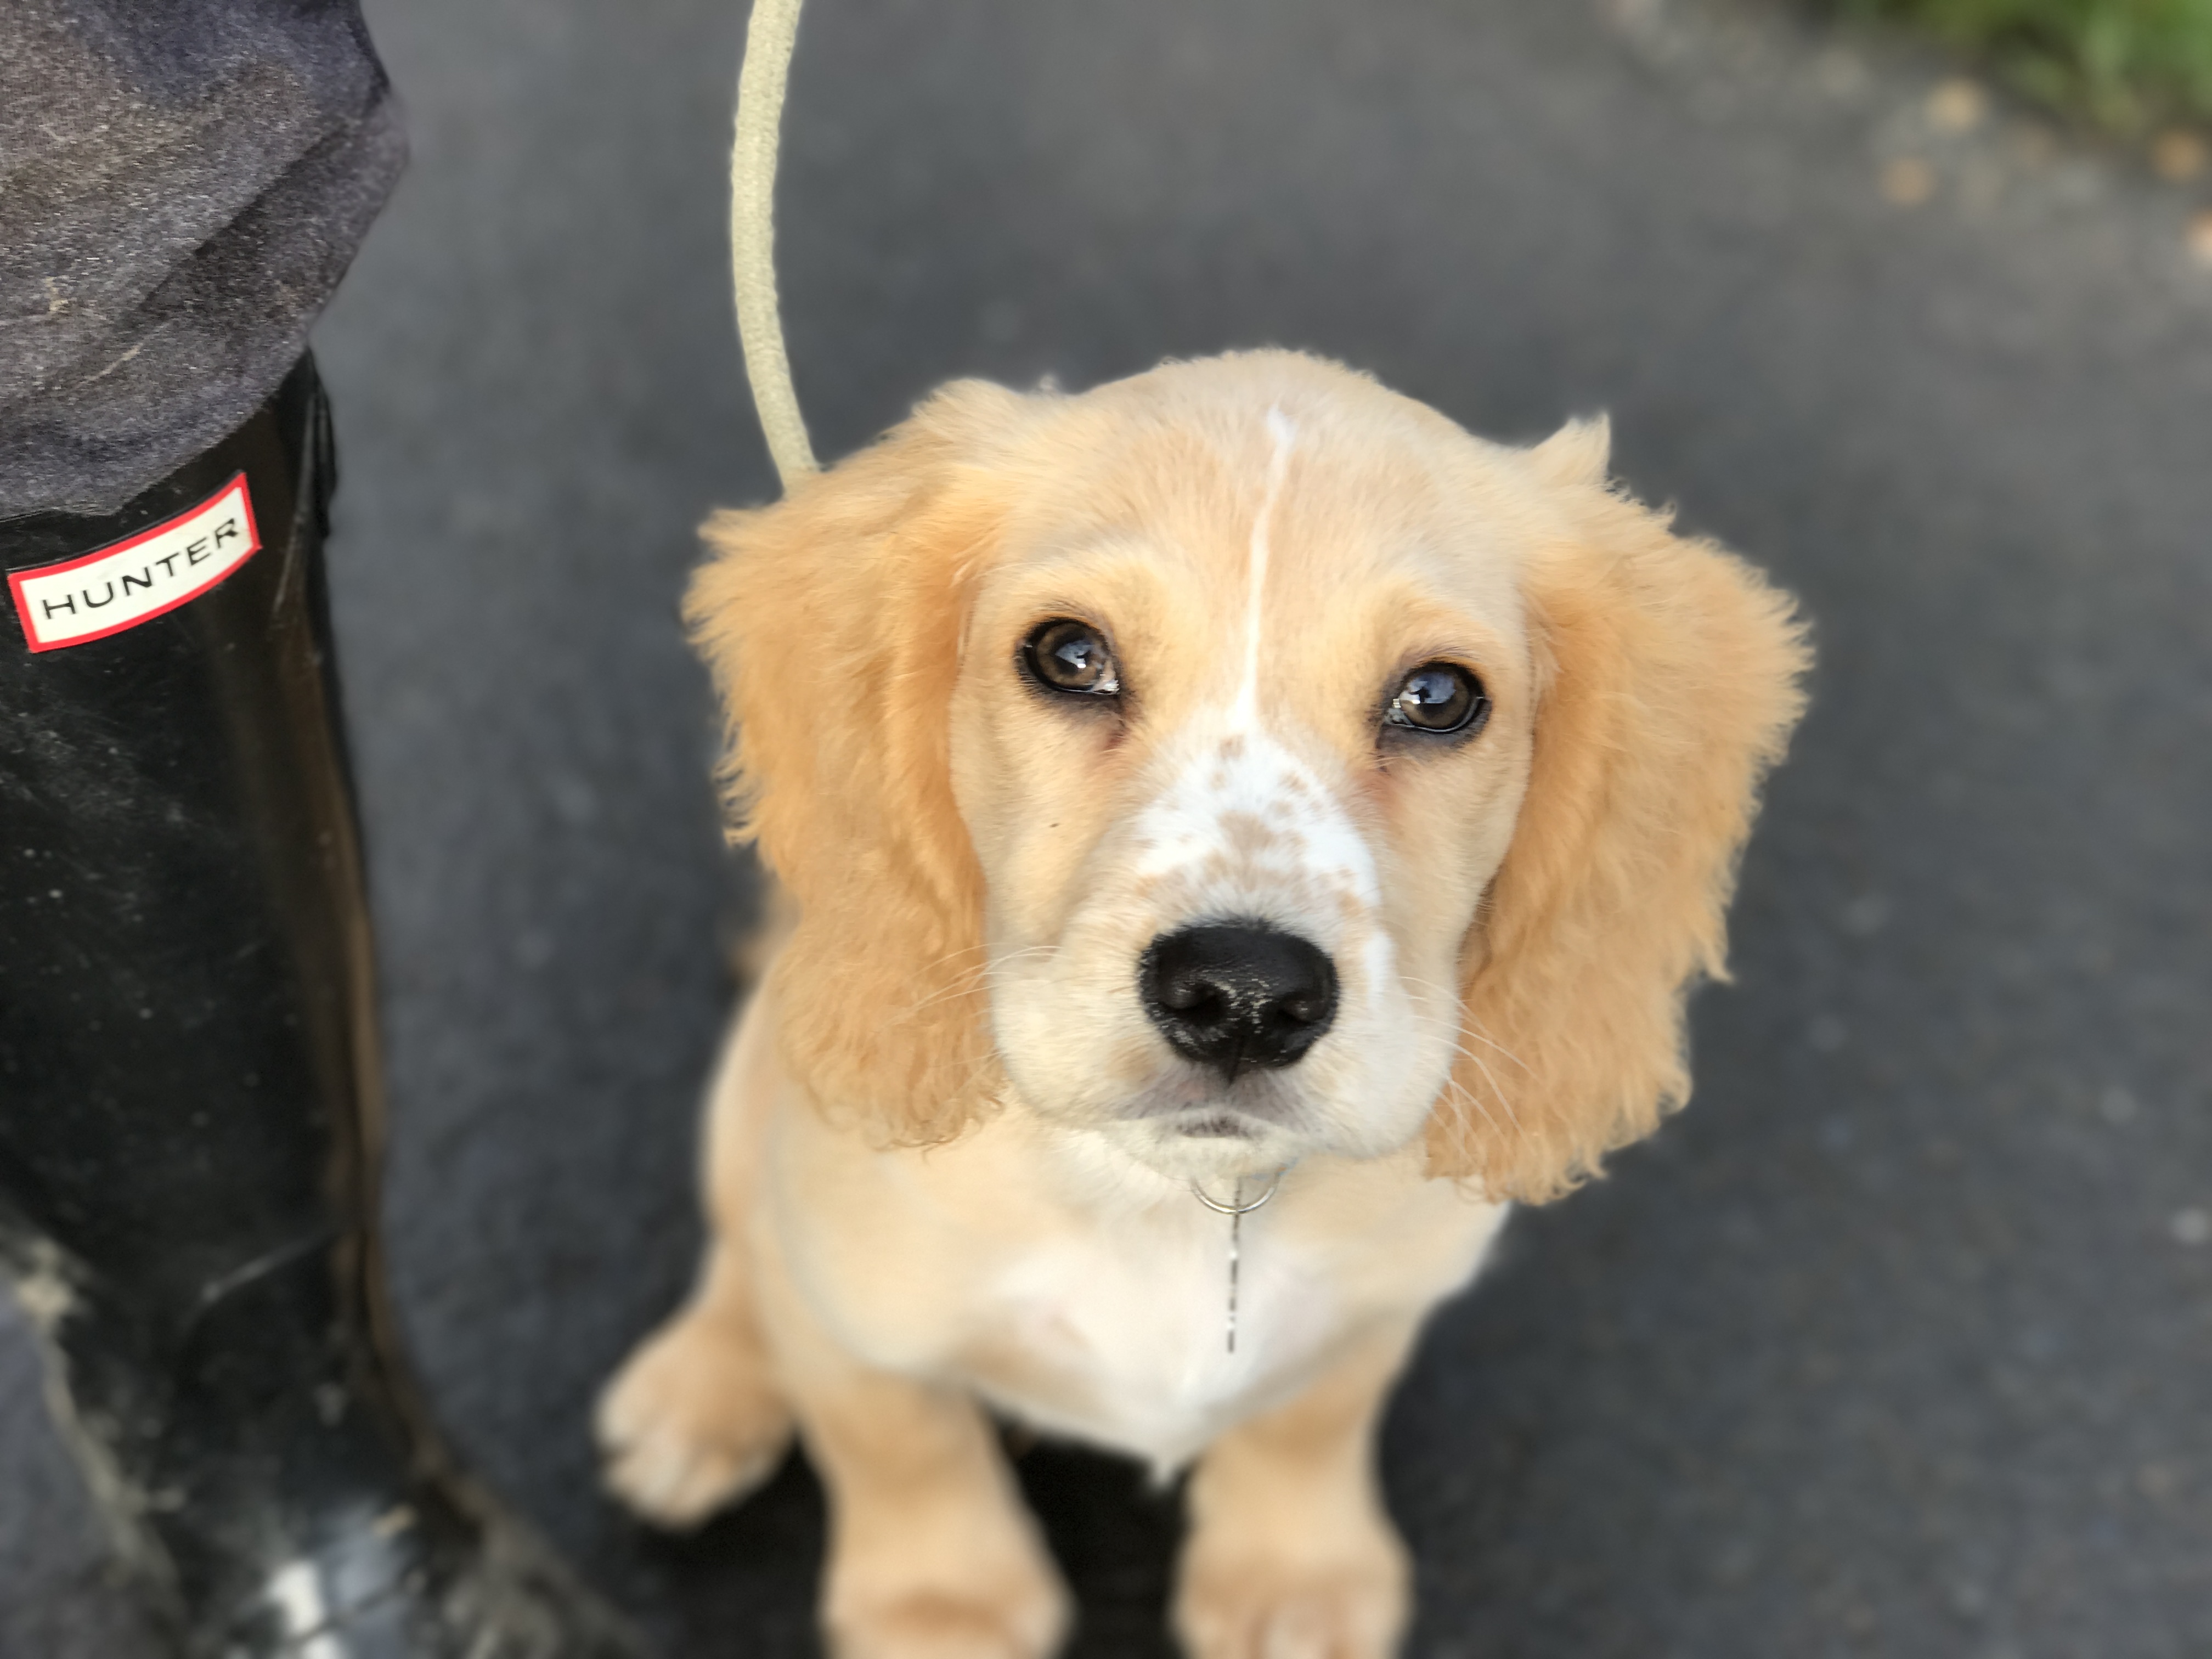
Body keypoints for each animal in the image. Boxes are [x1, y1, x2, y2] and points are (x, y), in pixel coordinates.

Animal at [597, 345, 1805, 1654]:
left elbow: (1309, 1417)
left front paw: (1292, 1576)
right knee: (738, 1244)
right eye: (1070, 656)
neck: (1179, 1195)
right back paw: (701, 1390)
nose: (1242, 995)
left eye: (1438, 696)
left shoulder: (1378, 1300)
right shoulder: (847, 1305)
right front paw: (941, 1607)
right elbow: (900, 1444)